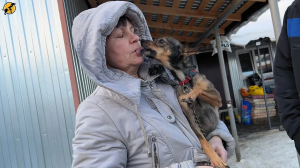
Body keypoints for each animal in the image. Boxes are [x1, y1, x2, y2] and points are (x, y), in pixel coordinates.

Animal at [142, 37, 226, 168]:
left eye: (161, 41)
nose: (141, 40)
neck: (184, 79)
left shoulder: (217, 98)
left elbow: (199, 89)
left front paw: (190, 95)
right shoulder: (191, 118)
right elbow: (203, 141)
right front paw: (216, 159)